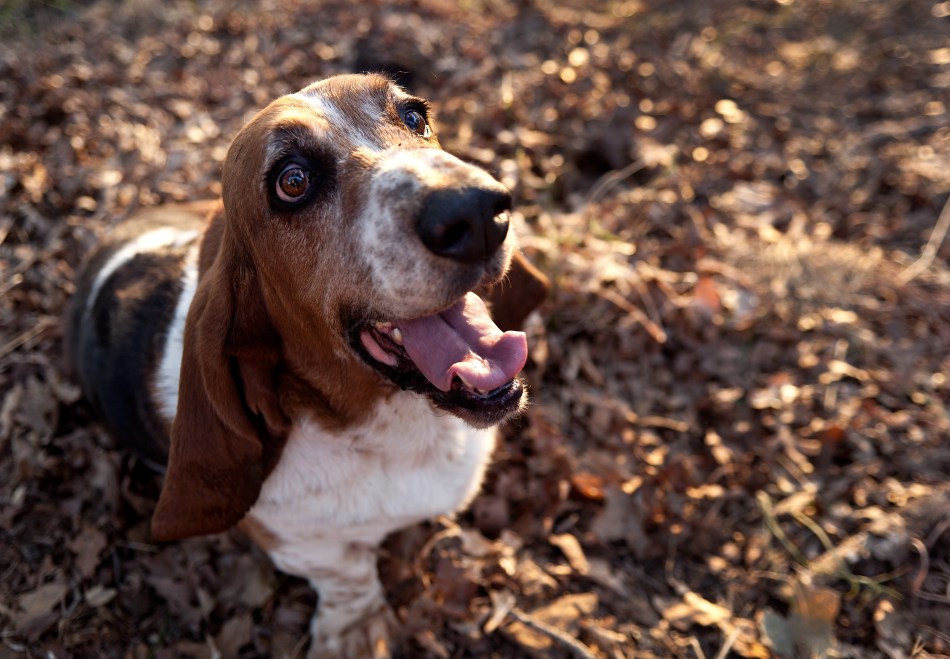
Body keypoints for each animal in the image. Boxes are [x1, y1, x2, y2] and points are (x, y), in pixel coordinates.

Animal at [65, 73, 547, 657]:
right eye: (292, 181)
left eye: (415, 117)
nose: (479, 211)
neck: (391, 429)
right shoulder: (294, 540)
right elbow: (346, 571)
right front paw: (357, 627)